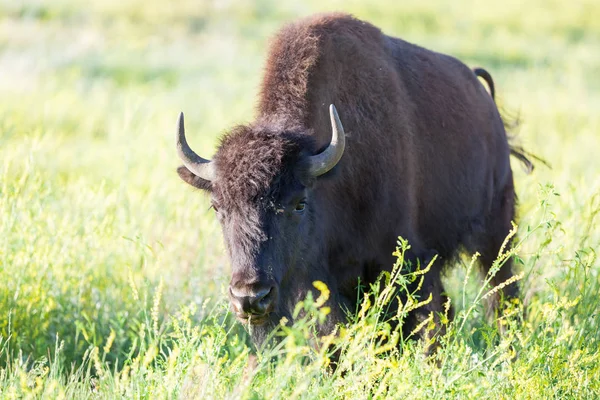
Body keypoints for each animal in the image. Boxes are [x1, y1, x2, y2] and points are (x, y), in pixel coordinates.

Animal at [177, 12, 528, 344]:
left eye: (299, 204)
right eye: (217, 208)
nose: (250, 297)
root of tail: (483, 95)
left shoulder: (405, 260)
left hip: (496, 233)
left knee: (500, 294)